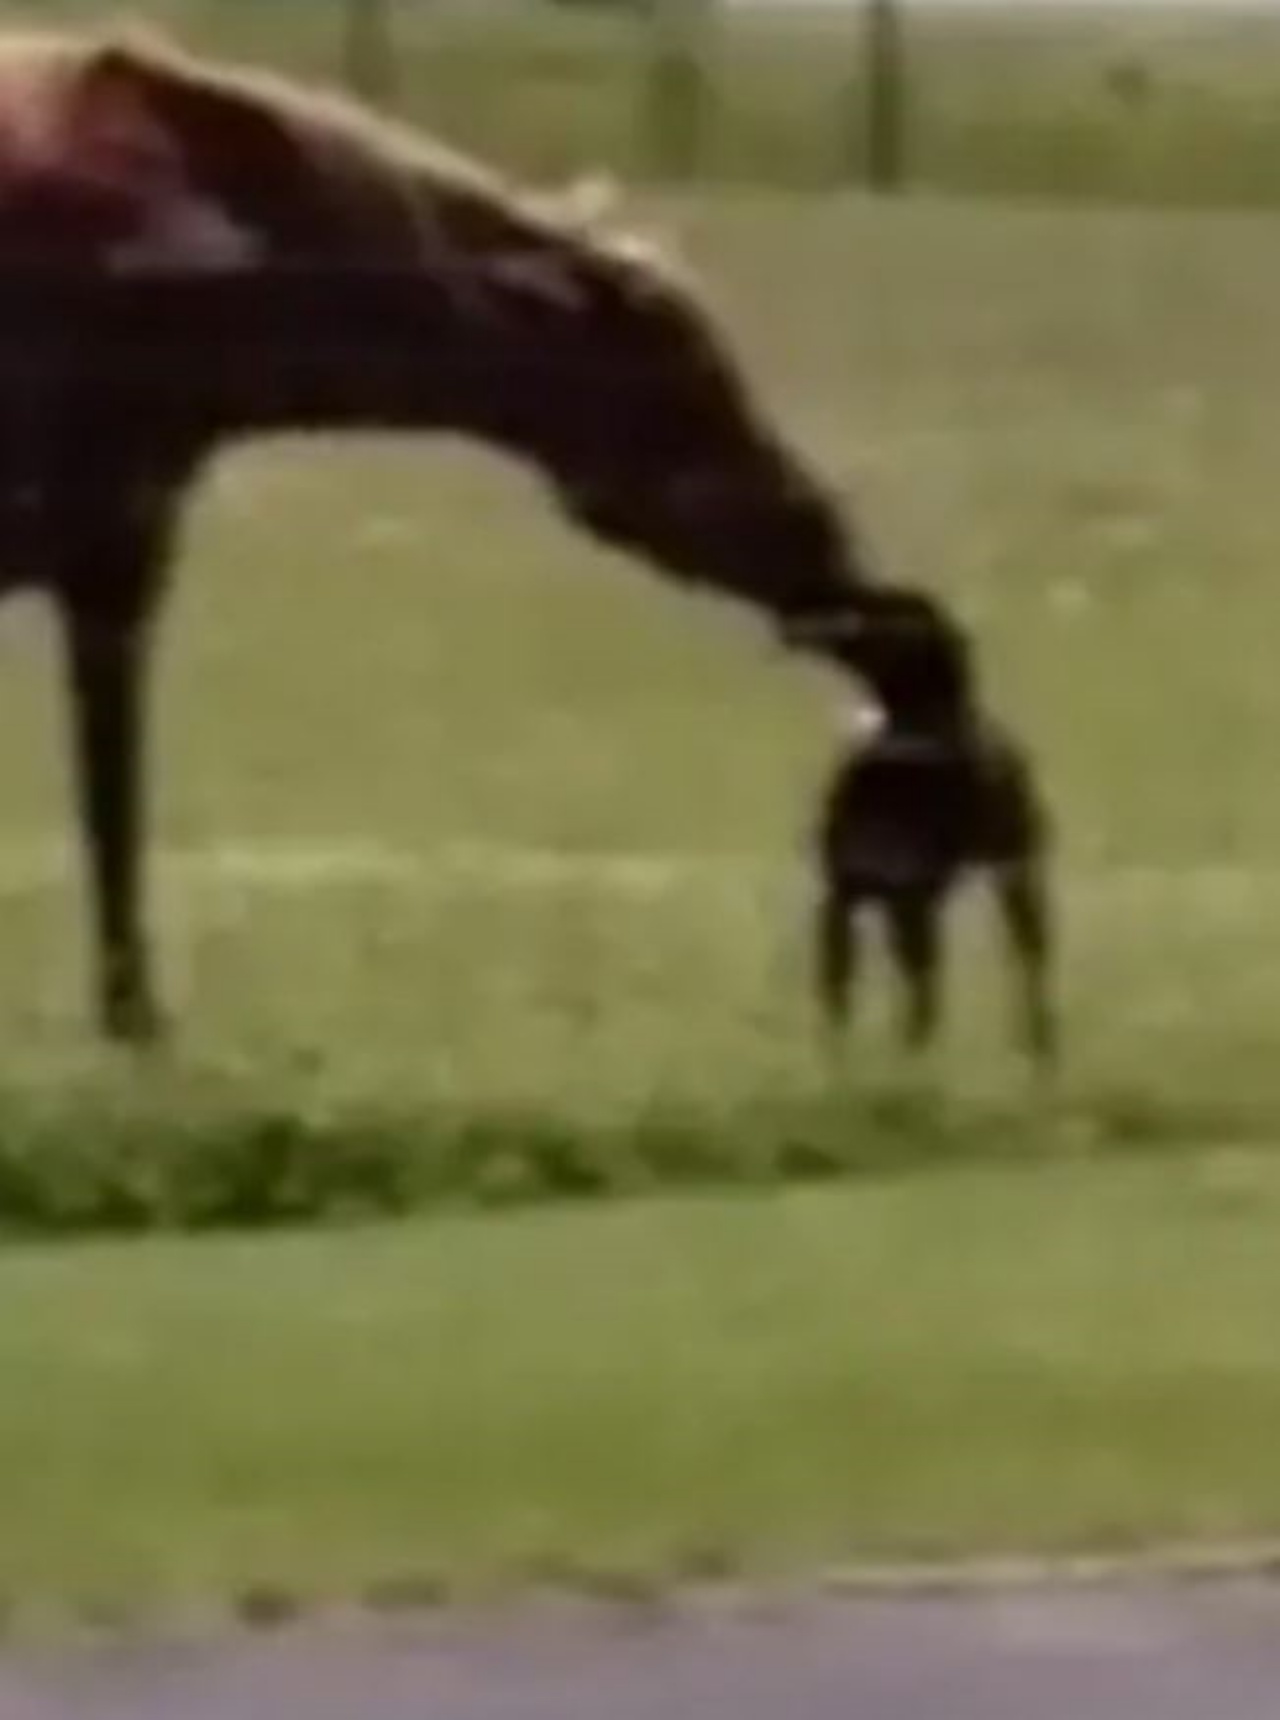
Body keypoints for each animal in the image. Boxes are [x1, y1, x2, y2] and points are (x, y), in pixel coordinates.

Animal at [0, 33, 942, 1038]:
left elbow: (111, 803)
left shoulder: (116, 552)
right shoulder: (105, 553)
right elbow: (110, 802)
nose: (834, 551)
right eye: (686, 386)